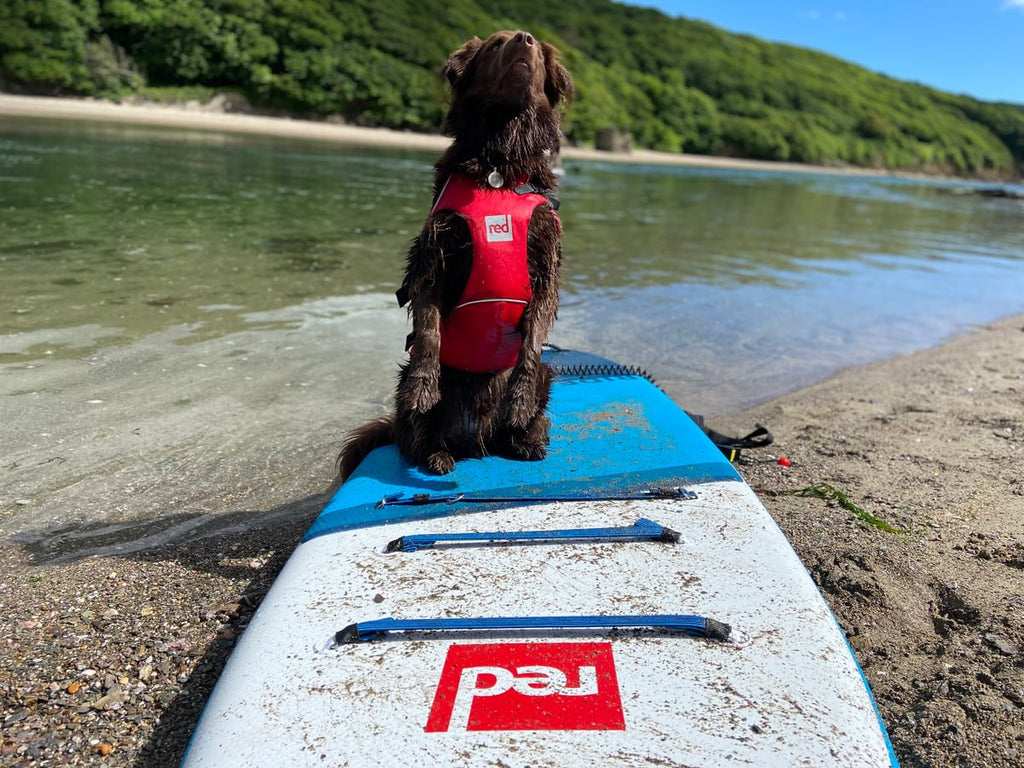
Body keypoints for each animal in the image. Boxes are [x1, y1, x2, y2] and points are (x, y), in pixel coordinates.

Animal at [342, 31, 569, 481]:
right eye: (497, 44)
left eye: (537, 47)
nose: (524, 39)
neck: (498, 163)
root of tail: (480, 438)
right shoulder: (435, 254)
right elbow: (428, 329)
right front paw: (424, 386)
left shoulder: (545, 262)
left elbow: (533, 341)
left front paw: (519, 401)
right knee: (416, 437)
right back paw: (438, 454)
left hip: (547, 377)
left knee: (527, 412)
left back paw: (526, 439)